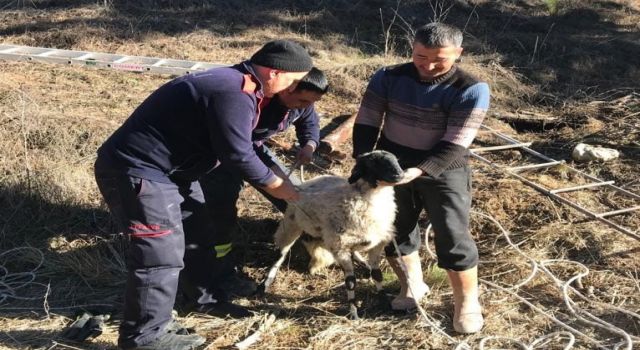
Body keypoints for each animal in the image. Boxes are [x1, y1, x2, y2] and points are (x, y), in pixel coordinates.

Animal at [262, 150, 402, 320]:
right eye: (374, 162)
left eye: (396, 159)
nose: (399, 174)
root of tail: (305, 183)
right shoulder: (340, 248)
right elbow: (350, 282)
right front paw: (353, 313)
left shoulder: (377, 244)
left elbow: (377, 274)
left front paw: (384, 300)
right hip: (291, 224)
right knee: (281, 253)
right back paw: (268, 280)